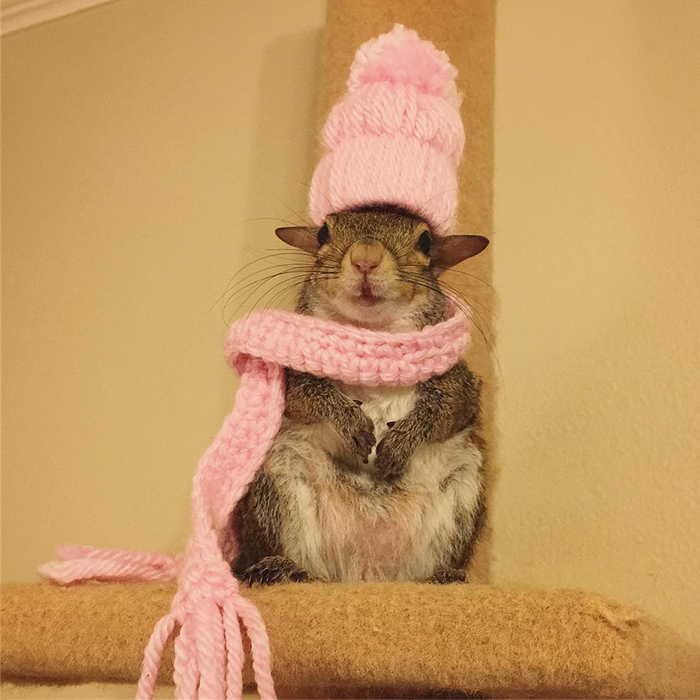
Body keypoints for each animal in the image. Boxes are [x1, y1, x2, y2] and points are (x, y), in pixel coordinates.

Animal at [226, 205, 489, 585]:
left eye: (425, 242)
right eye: (323, 234)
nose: (366, 258)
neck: (371, 335)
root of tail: (364, 574)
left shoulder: (460, 384)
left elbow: (446, 410)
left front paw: (401, 441)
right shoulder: (289, 376)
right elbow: (308, 395)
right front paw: (349, 420)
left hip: (462, 489)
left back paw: (441, 577)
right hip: (278, 485)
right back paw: (281, 568)